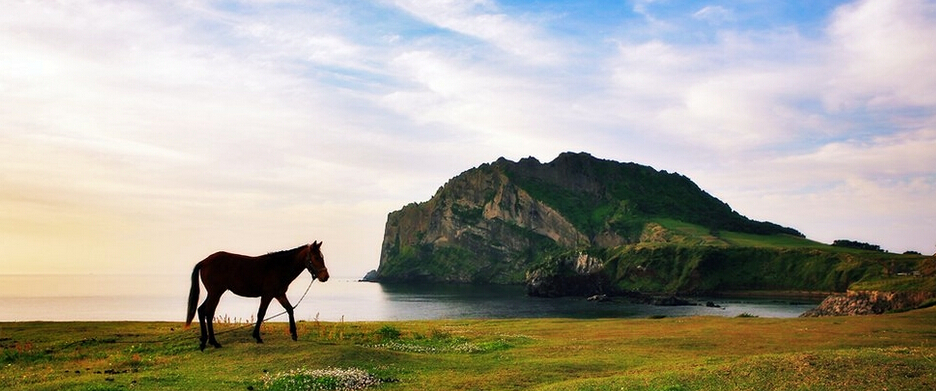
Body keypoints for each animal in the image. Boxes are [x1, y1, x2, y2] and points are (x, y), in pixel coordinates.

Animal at [184, 242, 330, 352]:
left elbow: (290, 310)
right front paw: (257, 337)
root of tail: (204, 261)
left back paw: (206, 341)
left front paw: (294, 334)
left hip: (214, 293)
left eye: (322, 257)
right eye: (316, 258)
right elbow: (261, 314)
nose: (325, 277)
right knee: (207, 312)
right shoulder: (267, 295)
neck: (279, 267)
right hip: (215, 293)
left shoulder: (279, 294)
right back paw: (212, 342)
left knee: (203, 311)